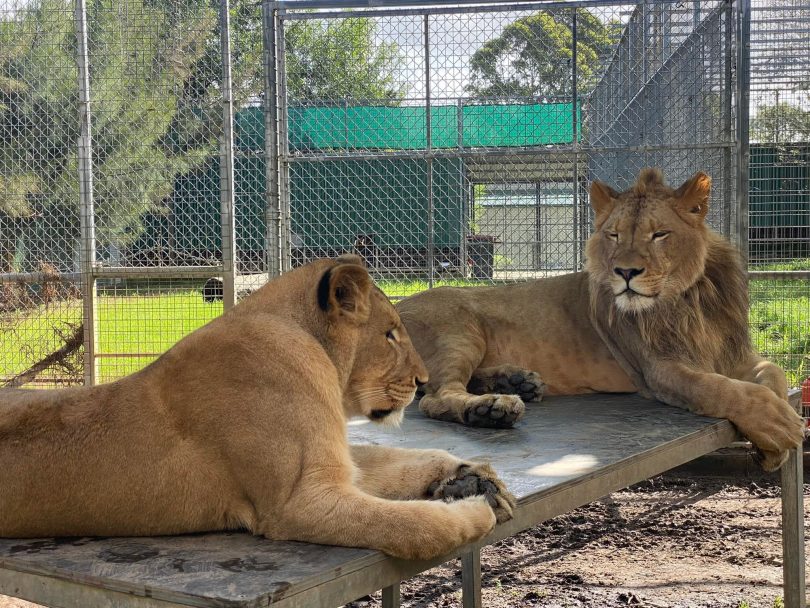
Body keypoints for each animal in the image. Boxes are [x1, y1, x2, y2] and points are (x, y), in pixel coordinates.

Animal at [1, 255, 512, 560]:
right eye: (389, 334)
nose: (423, 382)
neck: (314, 349)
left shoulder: (332, 461)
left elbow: (405, 459)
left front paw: (470, 475)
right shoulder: (298, 502)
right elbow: (413, 525)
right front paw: (472, 510)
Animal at [398, 169, 800, 472]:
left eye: (659, 234)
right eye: (614, 234)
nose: (626, 271)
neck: (688, 299)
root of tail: (395, 307)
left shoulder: (735, 356)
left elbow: (773, 375)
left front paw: (774, 441)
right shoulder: (659, 369)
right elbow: (721, 388)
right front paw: (778, 426)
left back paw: (517, 383)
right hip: (458, 330)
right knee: (436, 397)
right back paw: (492, 409)